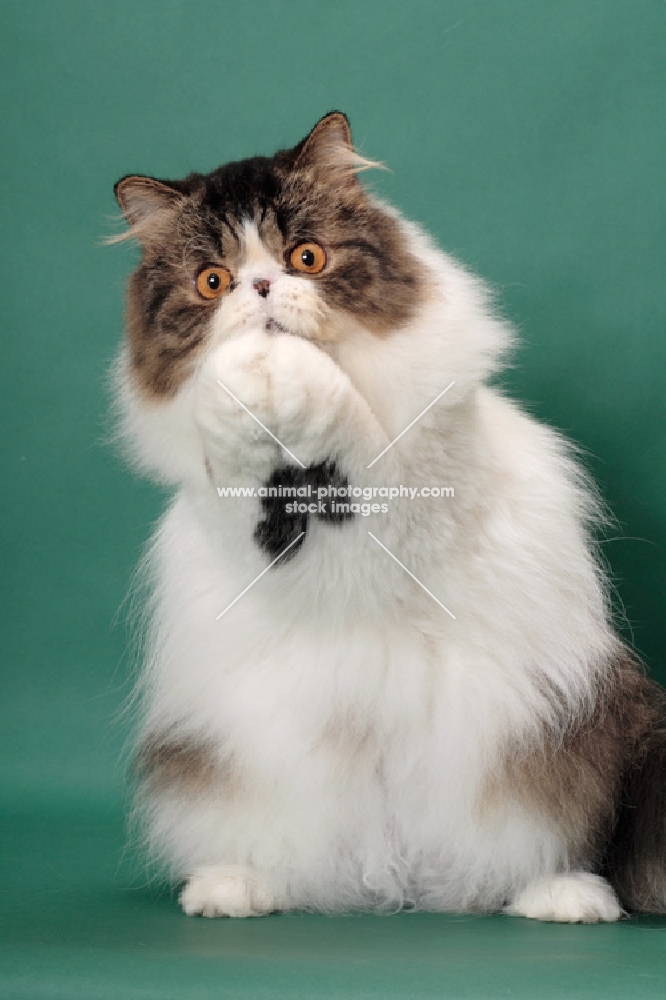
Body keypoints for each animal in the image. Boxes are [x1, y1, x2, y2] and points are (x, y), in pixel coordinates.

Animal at [111, 111, 660, 920]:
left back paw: (561, 898)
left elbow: (358, 426)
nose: (261, 288)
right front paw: (246, 377)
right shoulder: (254, 531)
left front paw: (289, 374)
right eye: (213, 282)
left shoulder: (415, 496)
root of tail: (403, 876)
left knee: (560, 844)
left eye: (305, 257)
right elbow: (238, 447)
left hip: (582, 728)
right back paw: (233, 887)